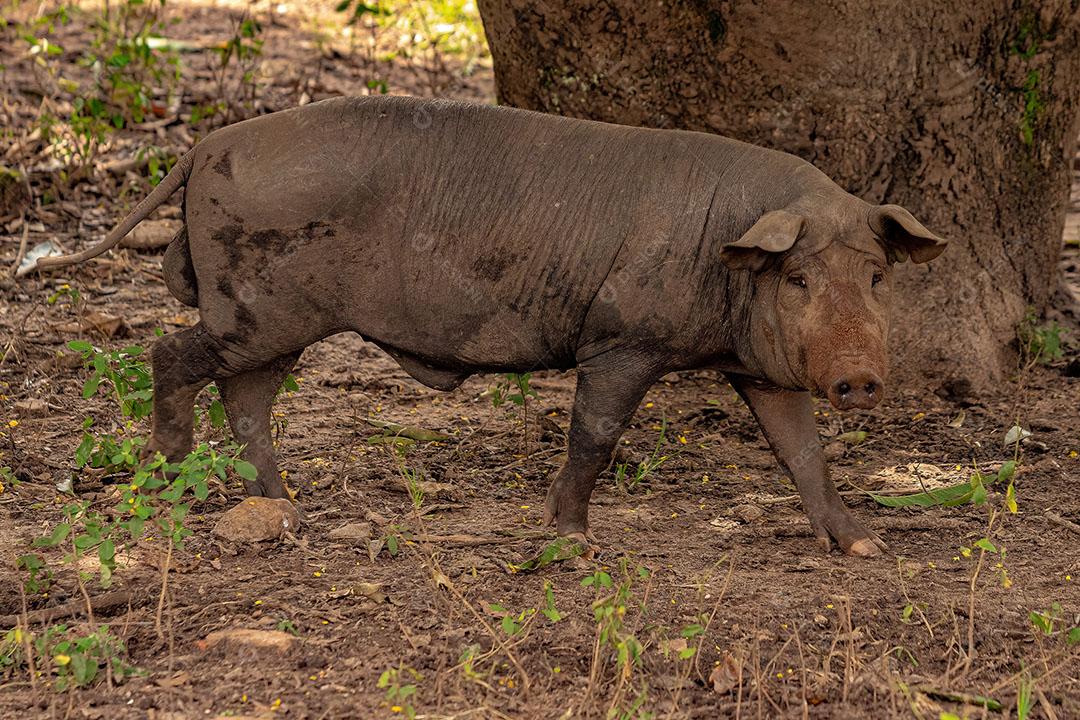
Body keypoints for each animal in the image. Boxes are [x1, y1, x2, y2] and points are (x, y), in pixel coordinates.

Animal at [37, 95, 946, 557]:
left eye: (876, 275)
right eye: (796, 278)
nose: (859, 377)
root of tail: (204, 145)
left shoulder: (757, 369)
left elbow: (802, 452)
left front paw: (865, 546)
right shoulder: (623, 341)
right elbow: (596, 435)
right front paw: (571, 541)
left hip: (270, 323)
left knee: (246, 398)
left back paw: (285, 509)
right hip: (254, 308)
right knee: (171, 355)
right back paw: (169, 471)